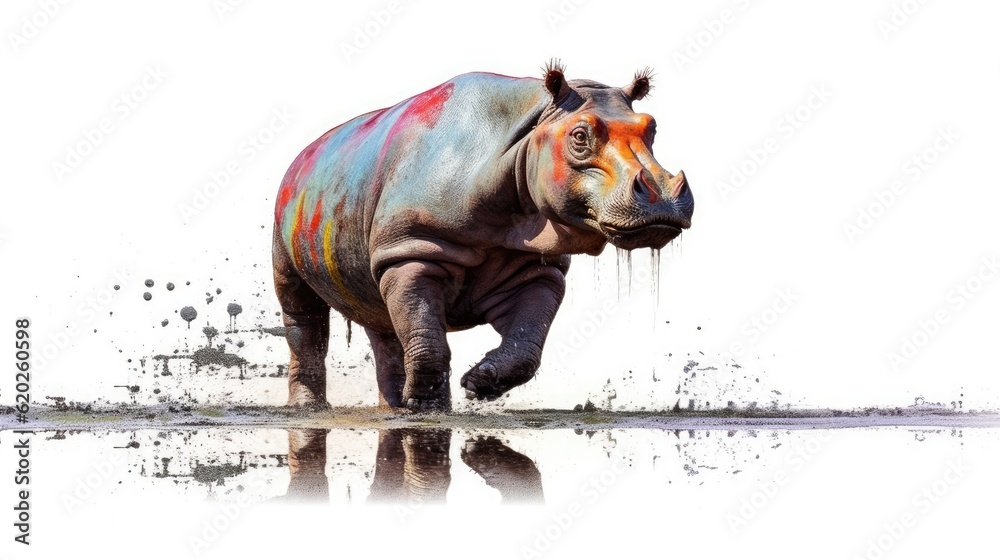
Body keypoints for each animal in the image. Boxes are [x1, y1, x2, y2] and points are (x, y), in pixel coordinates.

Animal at [273, 61, 693, 410]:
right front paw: (426, 409)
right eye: (579, 137)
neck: (529, 133)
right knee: (302, 307)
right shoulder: (412, 248)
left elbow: (526, 343)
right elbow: (427, 338)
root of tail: (301, 156)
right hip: (287, 206)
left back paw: (391, 408)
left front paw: (479, 384)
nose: (661, 203)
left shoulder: (536, 266)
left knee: (381, 318)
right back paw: (313, 409)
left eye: (652, 130)